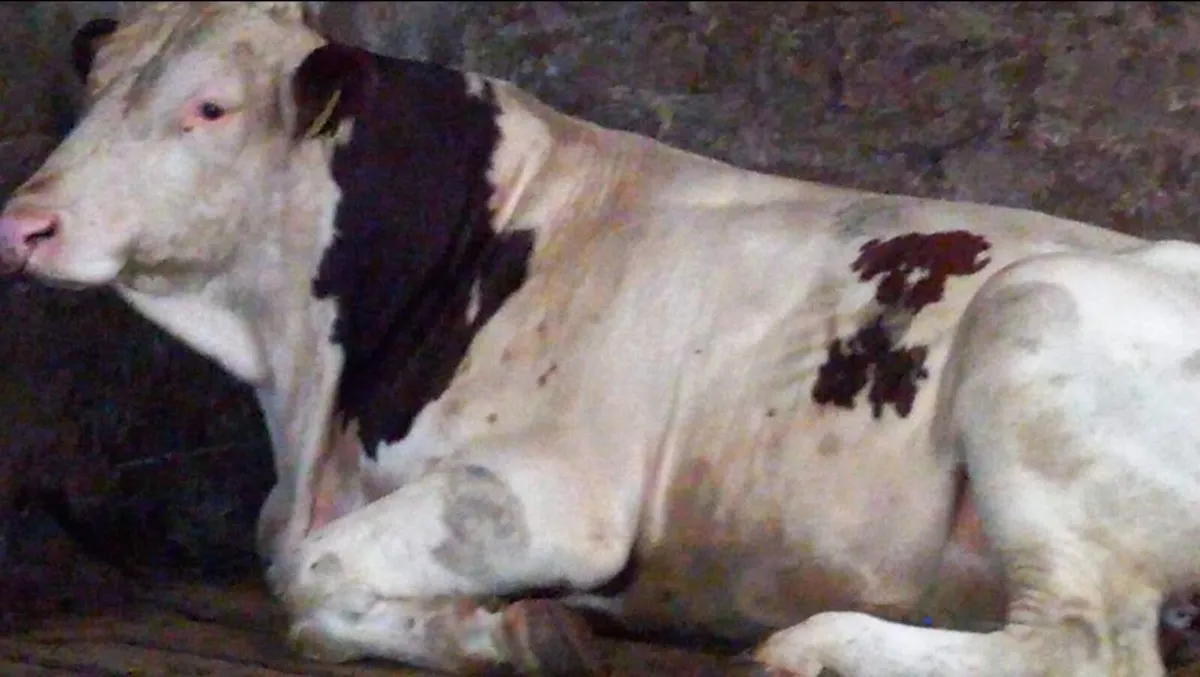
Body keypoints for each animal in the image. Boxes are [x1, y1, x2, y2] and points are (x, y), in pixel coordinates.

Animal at [2, 3, 1199, 675]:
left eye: (209, 108)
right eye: (94, 91)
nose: (25, 222)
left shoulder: (552, 495)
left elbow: (306, 571)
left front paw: (506, 629)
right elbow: (306, 582)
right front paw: (503, 627)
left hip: (1028, 319)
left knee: (1087, 646)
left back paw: (819, 646)